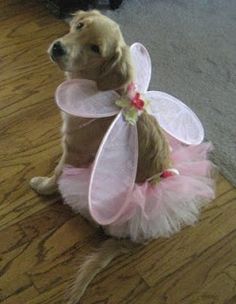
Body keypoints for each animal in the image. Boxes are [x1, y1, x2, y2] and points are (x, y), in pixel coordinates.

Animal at [30, 10, 171, 302]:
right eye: (79, 26)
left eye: (95, 49)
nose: (58, 47)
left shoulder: (75, 148)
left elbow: (58, 173)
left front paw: (45, 186)